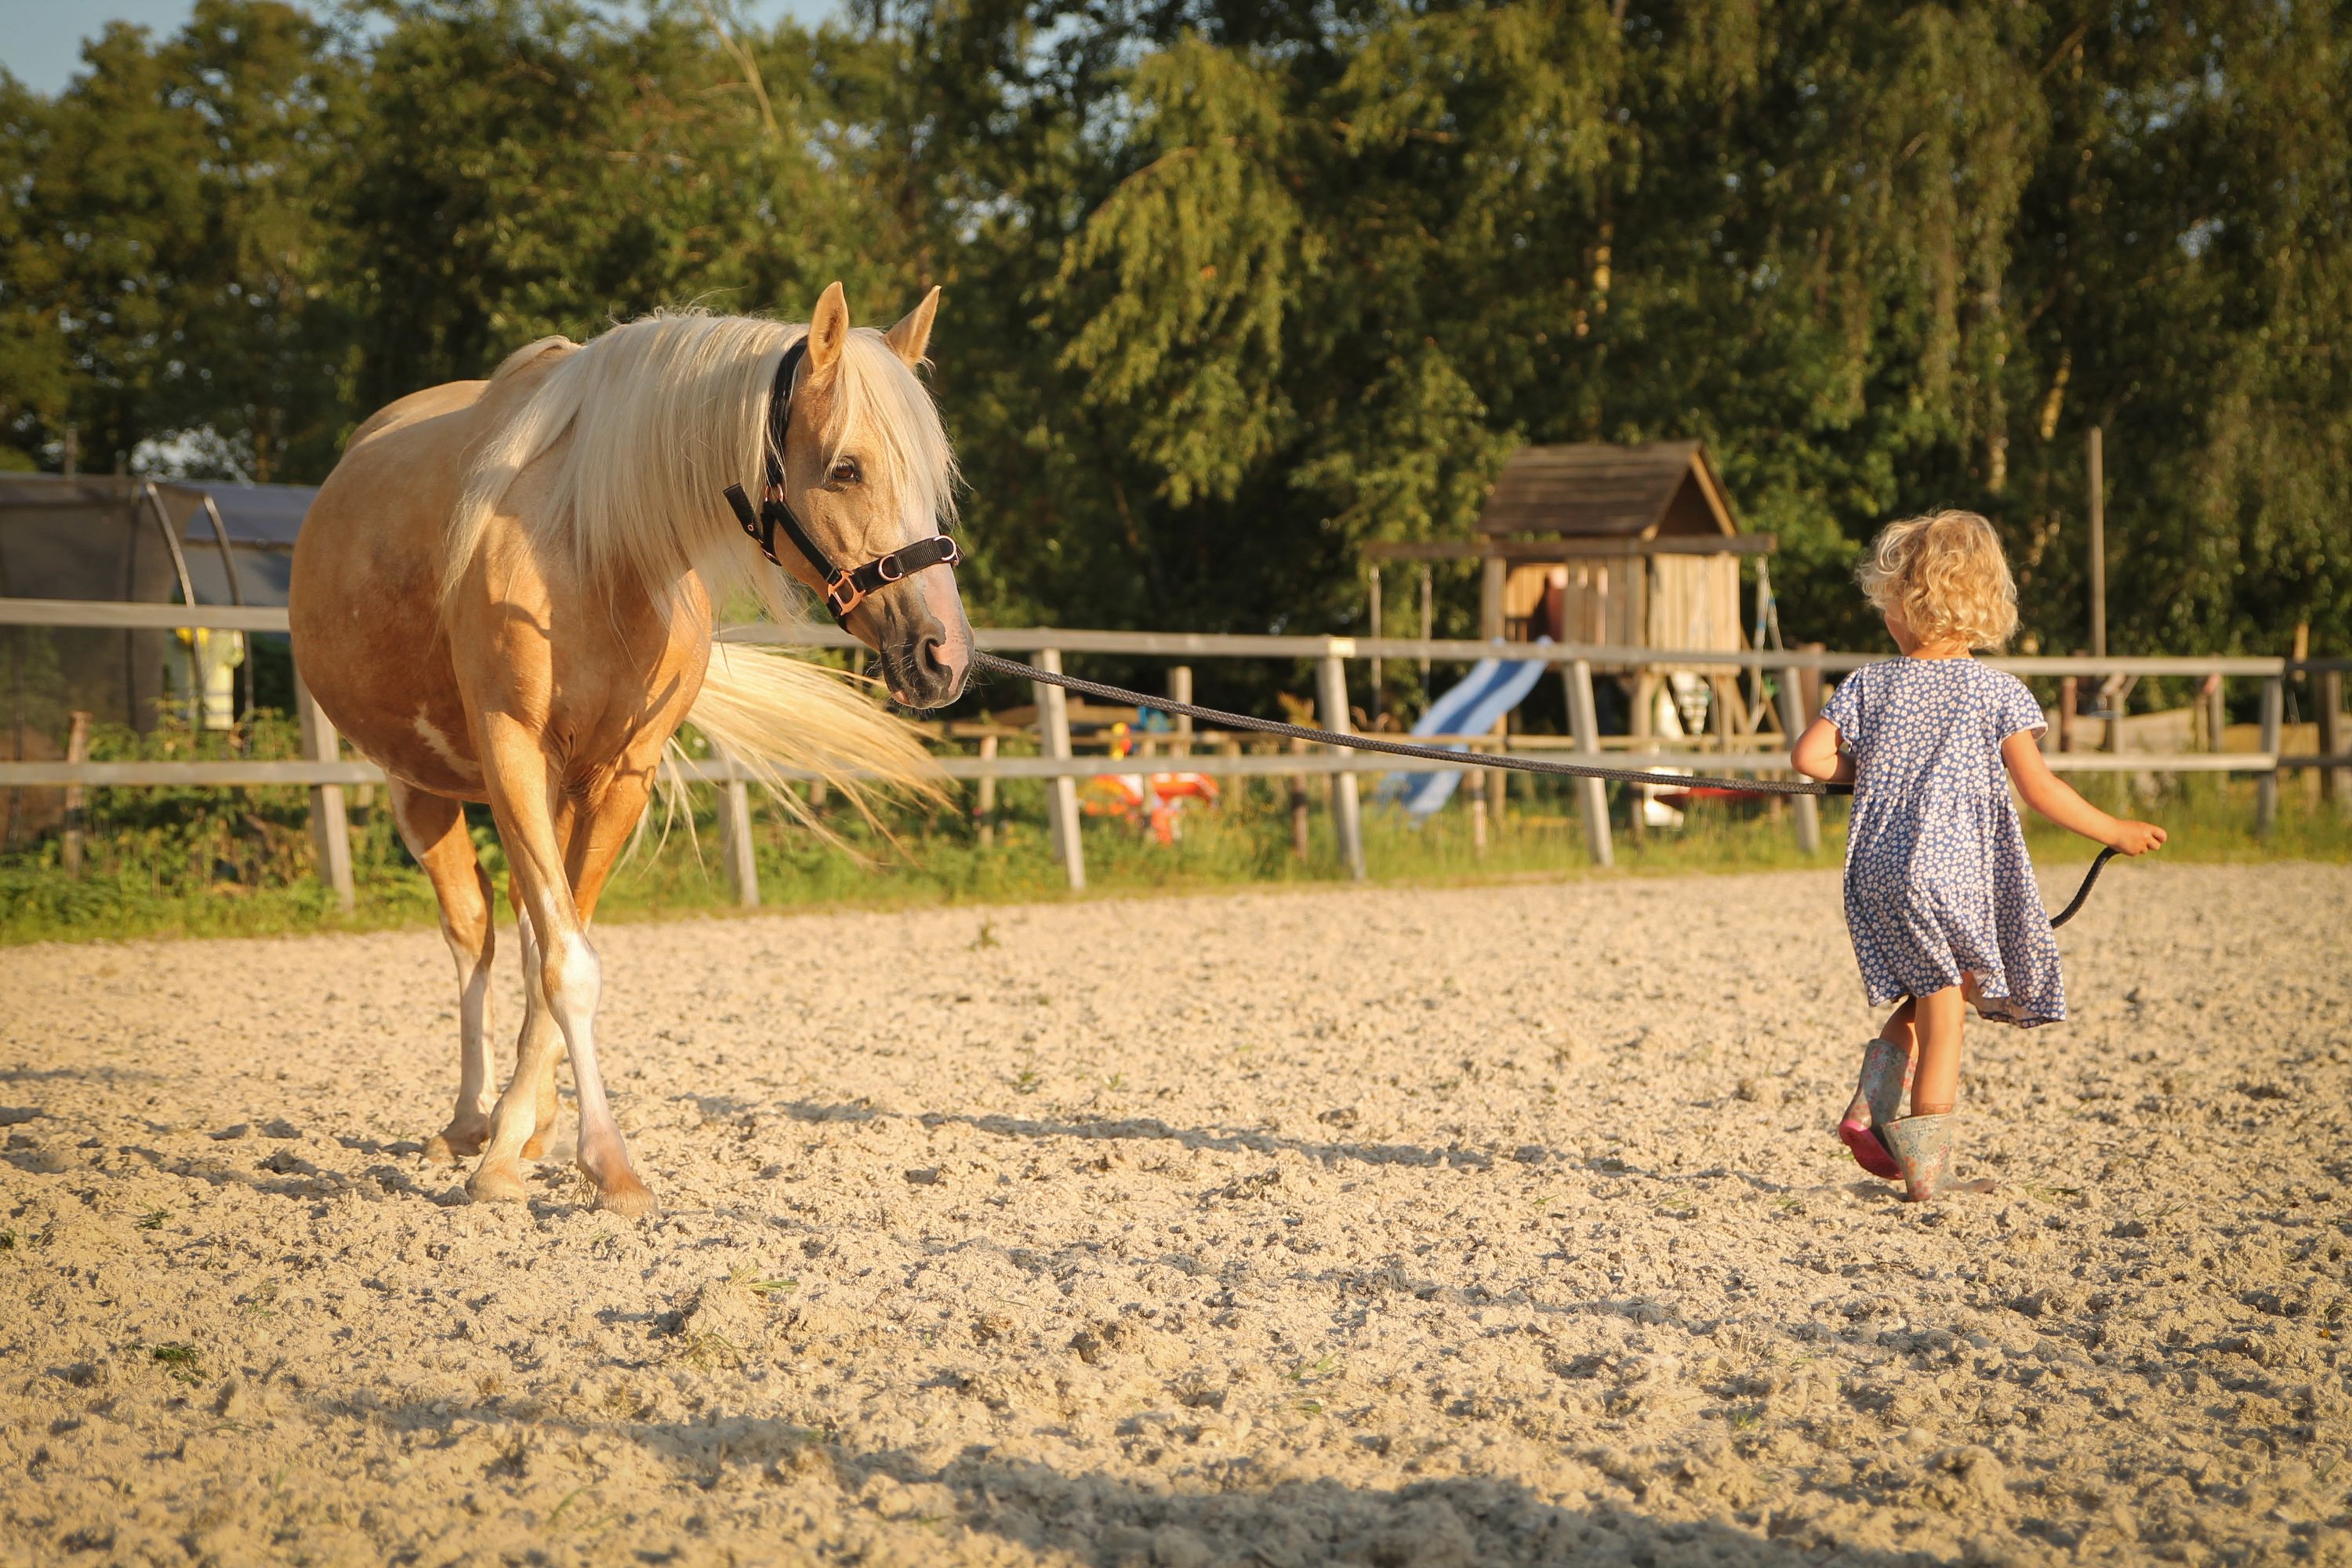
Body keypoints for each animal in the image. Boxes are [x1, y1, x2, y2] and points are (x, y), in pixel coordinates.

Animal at [288, 284, 970, 1218]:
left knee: (524, 928)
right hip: (416, 783)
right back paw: (468, 1119)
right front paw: (581, 1161)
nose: (945, 656)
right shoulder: (511, 751)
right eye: (846, 469)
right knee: (473, 932)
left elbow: (562, 954)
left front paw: (537, 1142)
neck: (595, 547)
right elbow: (567, 964)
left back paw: (514, 1121)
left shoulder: (622, 776)